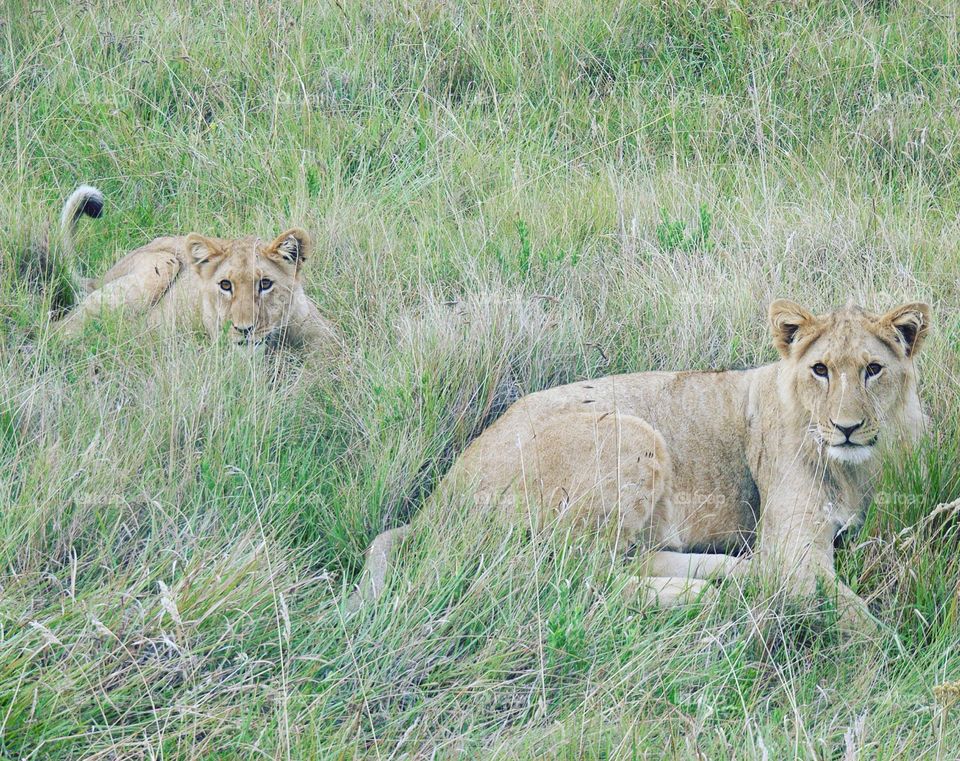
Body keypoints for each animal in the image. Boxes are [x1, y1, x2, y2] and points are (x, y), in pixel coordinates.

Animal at [49, 185, 340, 353]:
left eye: (265, 284)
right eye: (225, 285)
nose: (243, 330)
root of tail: (99, 278)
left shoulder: (327, 339)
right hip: (160, 265)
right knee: (59, 328)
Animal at [349, 299, 931, 630]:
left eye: (873, 369)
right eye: (820, 370)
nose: (847, 427)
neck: (855, 466)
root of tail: (435, 502)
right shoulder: (795, 554)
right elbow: (860, 619)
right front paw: (897, 665)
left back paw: (733, 575)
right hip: (631, 434)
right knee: (556, 583)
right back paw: (703, 598)